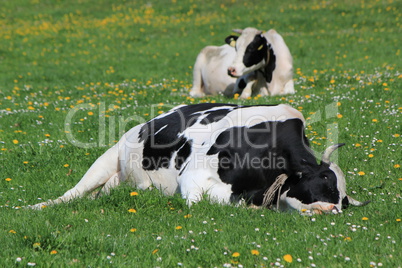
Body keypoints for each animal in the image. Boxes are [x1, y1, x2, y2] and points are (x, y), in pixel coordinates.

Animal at [28, 102, 368, 214]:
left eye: (344, 201)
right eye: (324, 182)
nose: (332, 211)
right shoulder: (192, 179)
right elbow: (199, 205)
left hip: (115, 180)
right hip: (106, 159)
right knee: (71, 194)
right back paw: (34, 207)